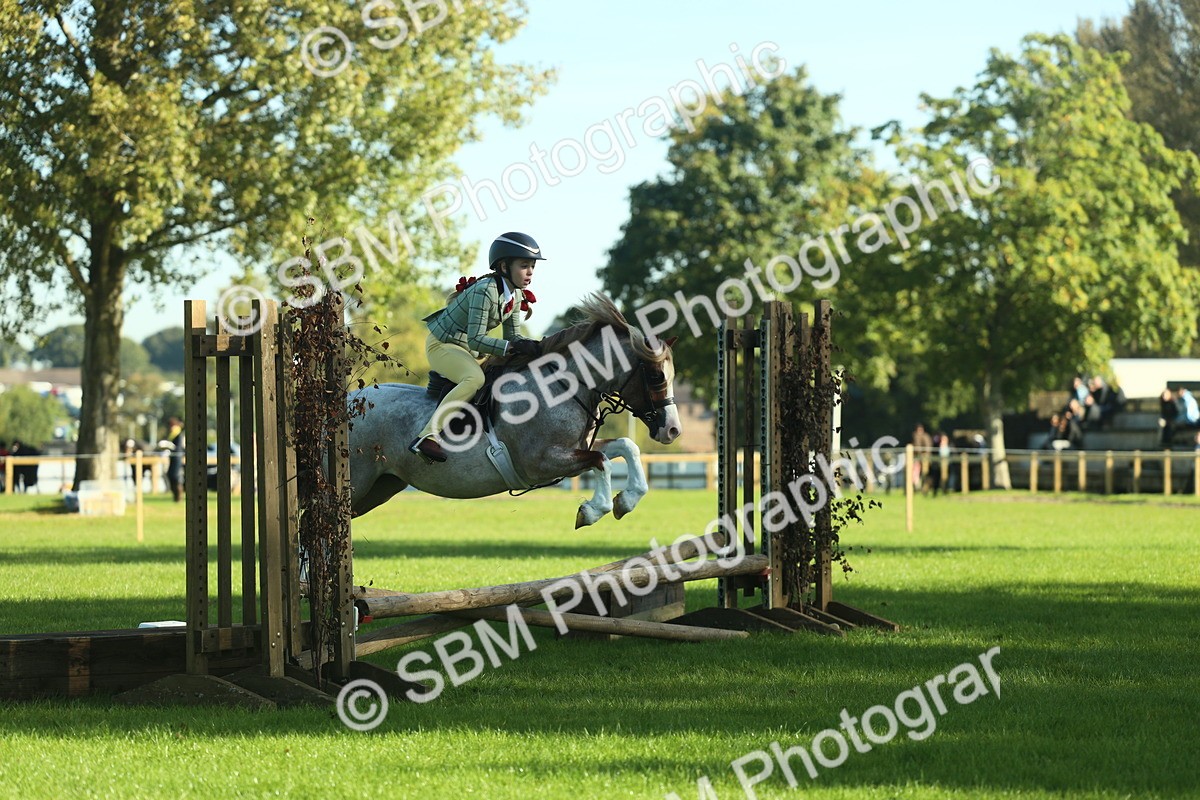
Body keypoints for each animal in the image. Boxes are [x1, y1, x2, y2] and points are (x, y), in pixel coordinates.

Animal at [348, 294, 682, 528]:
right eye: (655, 376)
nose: (672, 430)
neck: (562, 386)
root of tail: (349, 404)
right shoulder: (541, 462)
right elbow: (601, 461)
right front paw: (591, 511)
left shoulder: (574, 450)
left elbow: (626, 447)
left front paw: (626, 501)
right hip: (358, 482)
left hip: (381, 487)